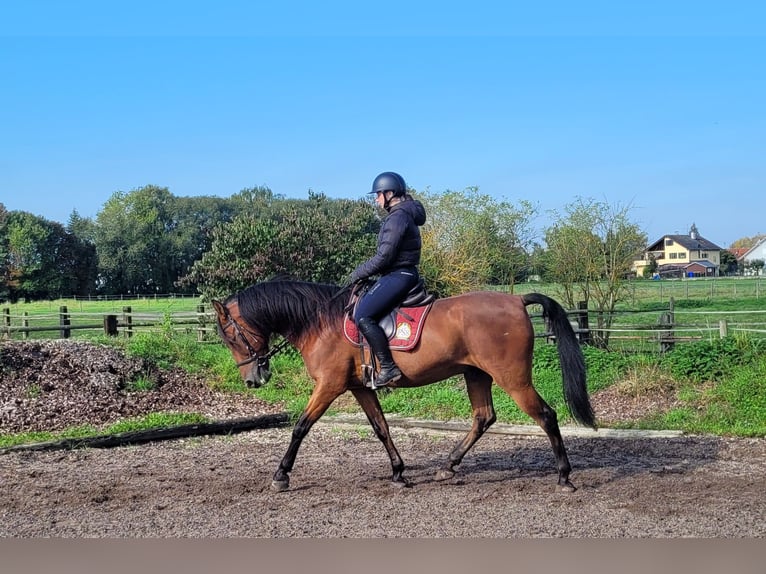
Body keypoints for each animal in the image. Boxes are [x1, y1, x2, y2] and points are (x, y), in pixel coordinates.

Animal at [211, 277, 596, 493]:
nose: (253, 379)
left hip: (512, 377)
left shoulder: (329, 386)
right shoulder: (360, 387)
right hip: (476, 374)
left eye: (230, 336)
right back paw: (448, 466)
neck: (320, 322)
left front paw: (281, 475)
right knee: (483, 417)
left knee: (545, 415)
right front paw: (398, 472)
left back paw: (564, 478)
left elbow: (300, 427)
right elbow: (381, 428)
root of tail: (516, 300)